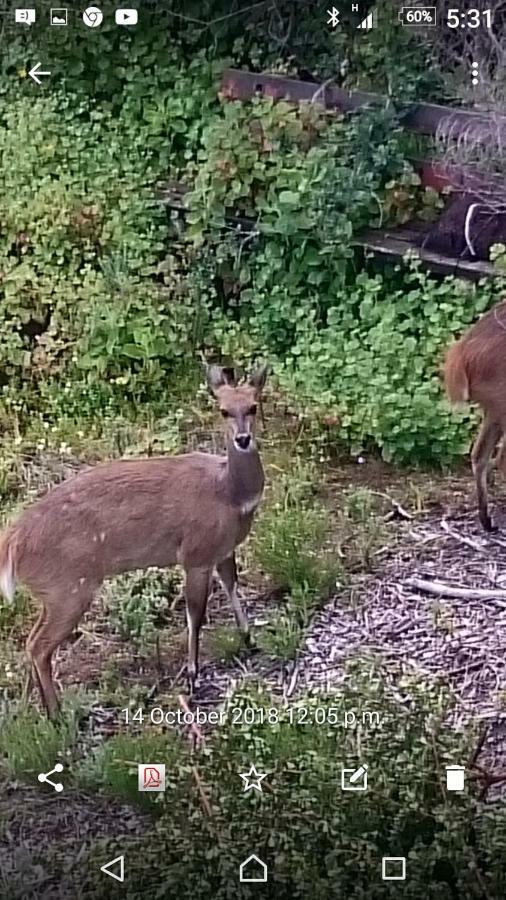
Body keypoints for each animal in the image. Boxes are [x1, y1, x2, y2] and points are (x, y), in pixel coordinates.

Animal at [0, 362, 268, 720]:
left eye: (252, 406)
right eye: (223, 410)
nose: (242, 438)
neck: (229, 494)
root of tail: (12, 543)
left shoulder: (222, 551)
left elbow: (233, 587)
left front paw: (250, 640)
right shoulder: (195, 554)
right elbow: (195, 613)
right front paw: (192, 676)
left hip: (54, 593)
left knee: (32, 642)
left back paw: (50, 712)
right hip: (69, 589)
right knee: (39, 645)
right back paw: (60, 716)